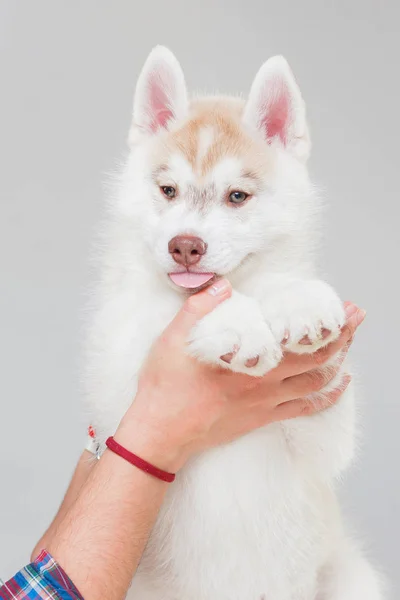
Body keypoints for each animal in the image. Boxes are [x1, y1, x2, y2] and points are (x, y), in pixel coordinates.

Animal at [83, 45, 382, 600]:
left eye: (237, 197)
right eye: (168, 190)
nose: (185, 245)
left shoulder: (323, 438)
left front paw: (298, 301)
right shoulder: (121, 372)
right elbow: (176, 310)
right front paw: (237, 324)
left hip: (351, 577)